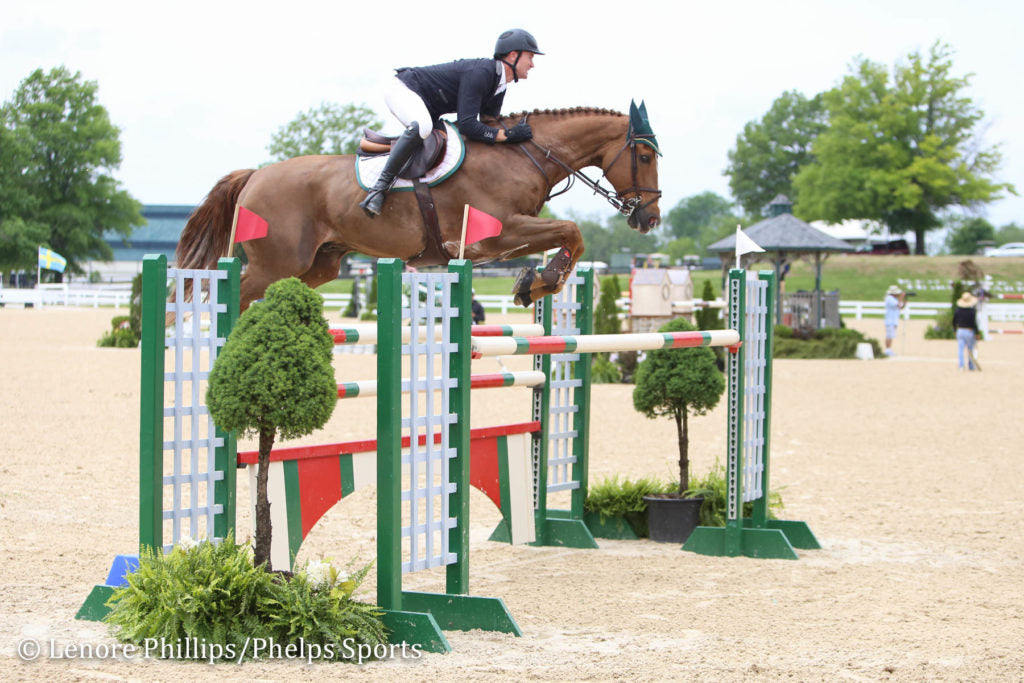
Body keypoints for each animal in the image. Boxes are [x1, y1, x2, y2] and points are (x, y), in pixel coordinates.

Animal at [174, 105, 663, 311]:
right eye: (643, 156)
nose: (650, 218)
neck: (521, 155)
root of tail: (255, 174)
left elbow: (570, 238)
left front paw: (536, 283)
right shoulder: (494, 234)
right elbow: (572, 231)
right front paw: (539, 281)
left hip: (317, 266)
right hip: (276, 262)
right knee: (225, 294)